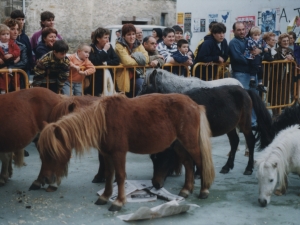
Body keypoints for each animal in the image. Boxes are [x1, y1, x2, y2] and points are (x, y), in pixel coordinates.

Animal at [37, 92, 216, 211]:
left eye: (52, 153)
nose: (45, 179)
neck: (103, 120)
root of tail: (194, 104)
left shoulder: (118, 153)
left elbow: (120, 176)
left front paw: (118, 202)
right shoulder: (107, 154)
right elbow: (109, 175)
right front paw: (105, 196)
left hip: (190, 143)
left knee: (200, 163)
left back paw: (204, 190)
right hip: (178, 144)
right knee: (188, 163)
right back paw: (186, 190)